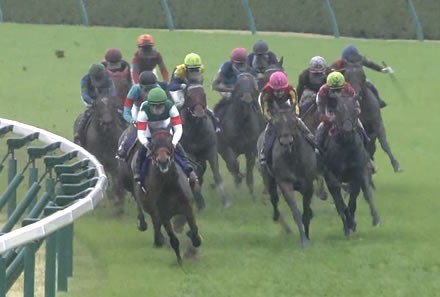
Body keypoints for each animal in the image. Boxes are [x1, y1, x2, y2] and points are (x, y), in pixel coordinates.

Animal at [134, 130, 203, 264]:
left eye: (170, 144)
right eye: (153, 146)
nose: (163, 161)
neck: (169, 186)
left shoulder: (188, 207)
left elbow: (194, 231)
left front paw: (193, 240)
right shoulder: (163, 215)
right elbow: (174, 240)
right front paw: (180, 262)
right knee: (155, 222)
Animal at [254, 107, 320, 247]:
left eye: (293, 122)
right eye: (276, 123)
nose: (286, 142)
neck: (293, 158)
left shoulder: (308, 184)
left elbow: (306, 212)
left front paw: (307, 235)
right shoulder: (285, 184)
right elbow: (296, 212)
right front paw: (304, 240)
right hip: (268, 179)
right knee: (273, 198)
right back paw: (276, 216)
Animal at [322, 95, 380, 236]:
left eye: (355, 111)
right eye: (338, 111)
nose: (347, 131)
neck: (345, 147)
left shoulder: (358, 174)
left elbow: (353, 197)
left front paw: (352, 222)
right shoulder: (330, 176)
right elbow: (340, 202)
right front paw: (348, 224)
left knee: (366, 193)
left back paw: (375, 218)